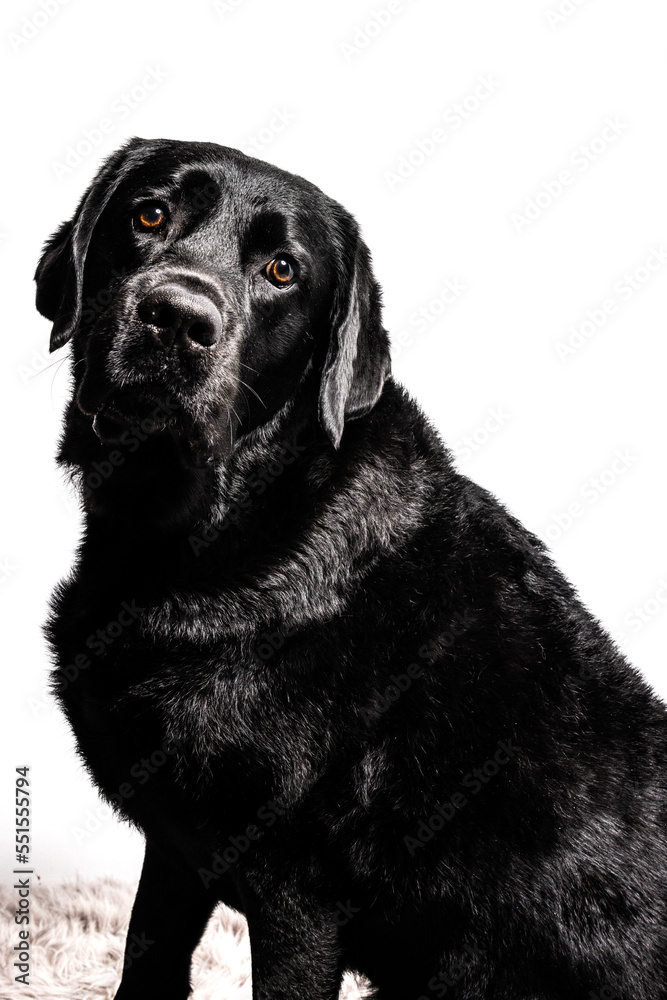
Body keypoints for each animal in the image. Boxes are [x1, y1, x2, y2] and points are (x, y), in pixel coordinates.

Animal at [37, 139, 667, 1000]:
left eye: (282, 270)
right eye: (149, 215)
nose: (177, 318)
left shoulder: (299, 890)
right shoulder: (176, 842)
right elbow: (147, 957)